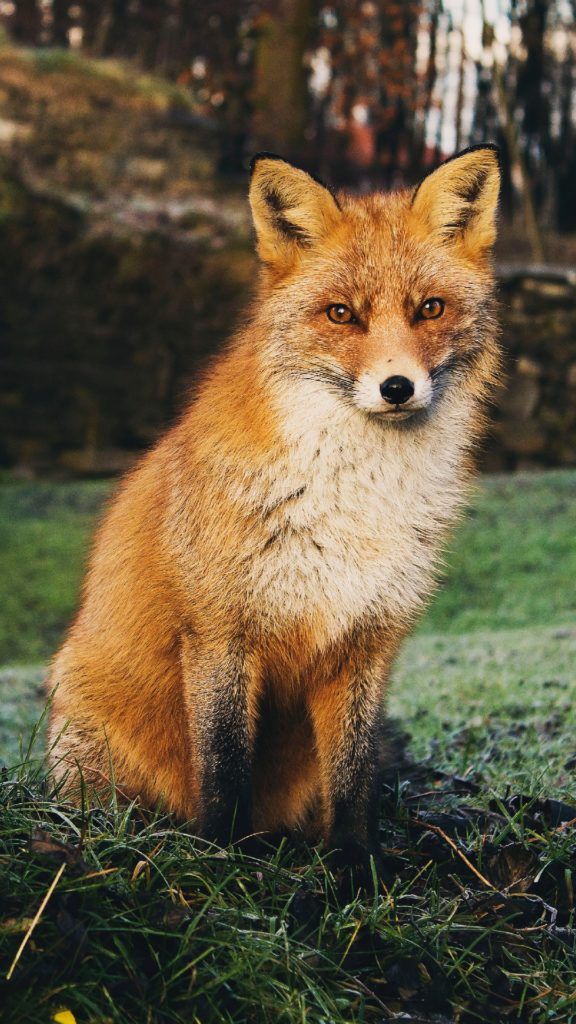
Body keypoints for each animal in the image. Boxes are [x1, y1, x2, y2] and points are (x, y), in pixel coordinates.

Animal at [47, 145, 502, 867]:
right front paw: (227, 861)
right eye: (341, 314)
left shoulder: (365, 642)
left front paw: (356, 869)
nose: (397, 388)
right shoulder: (220, 631)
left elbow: (353, 778)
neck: (353, 501)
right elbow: (225, 766)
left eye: (430, 308)